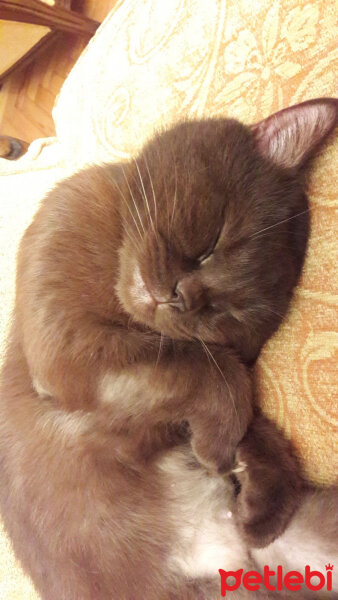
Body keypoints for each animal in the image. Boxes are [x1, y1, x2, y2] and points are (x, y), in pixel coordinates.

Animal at [0, 96, 336, 596]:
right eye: (214, 241)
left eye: (226, 314)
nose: (181, 296)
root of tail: (230, 560)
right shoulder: (67, 344)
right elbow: (216, 375)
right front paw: (220, 456)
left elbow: (231, 390)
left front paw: (248, 489)